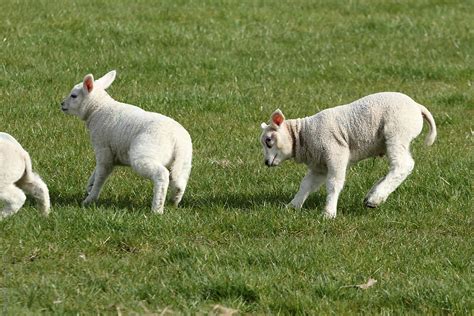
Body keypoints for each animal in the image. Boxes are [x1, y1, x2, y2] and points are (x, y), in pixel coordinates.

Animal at [60, 69, 192, 212]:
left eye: (73, 96)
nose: (62, 104)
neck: (97, 109)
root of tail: (177, 140)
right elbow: (96, 172)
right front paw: (89, 186)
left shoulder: (103, 148)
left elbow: (101, 174)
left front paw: (90, 199)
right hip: (184, 161)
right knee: (179, 181)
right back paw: (174, 201)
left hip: (145, 151)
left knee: (161, 175)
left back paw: (157, 209)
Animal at [260, 92, 436, 218]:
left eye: (269, 140)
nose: (266, 163)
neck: (302, 135)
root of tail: (417, 107)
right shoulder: (319, 165)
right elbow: (306, 185)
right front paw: (292, 206)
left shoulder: (336, 152)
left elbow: (333, 184)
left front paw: (328, 213)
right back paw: (373, 195)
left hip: (397, 132)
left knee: (403, 165)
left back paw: (375, 198)